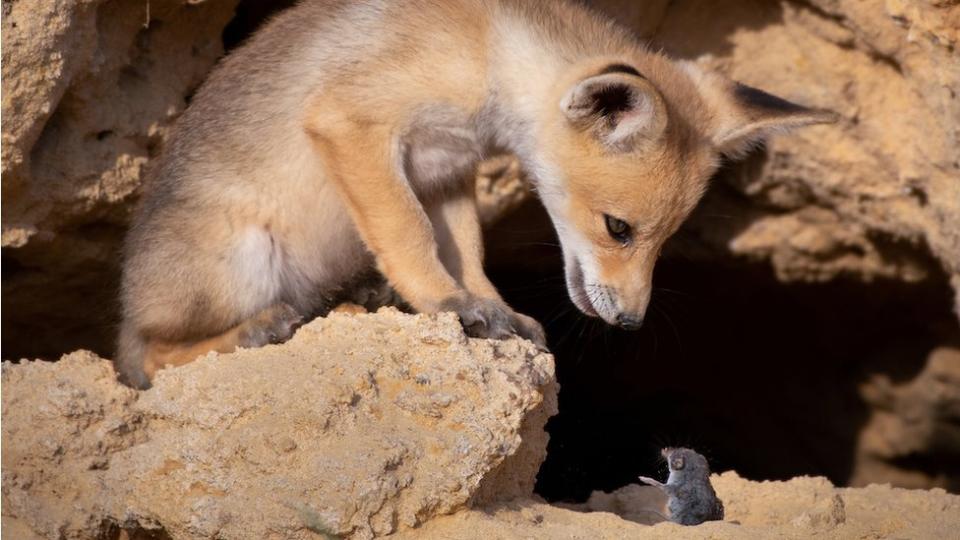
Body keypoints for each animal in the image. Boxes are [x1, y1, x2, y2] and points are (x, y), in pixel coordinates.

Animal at [116, 0, 836, 388]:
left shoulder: (446, 172)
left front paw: (494, 310)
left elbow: (469, 254)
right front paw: (444, 304)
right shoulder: (354, 124)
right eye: (619, 228)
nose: (631, 322)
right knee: (149, 358)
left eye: (667, 241)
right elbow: (408, 236)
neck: (487, 51)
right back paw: (254, 331)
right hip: (242, 259)